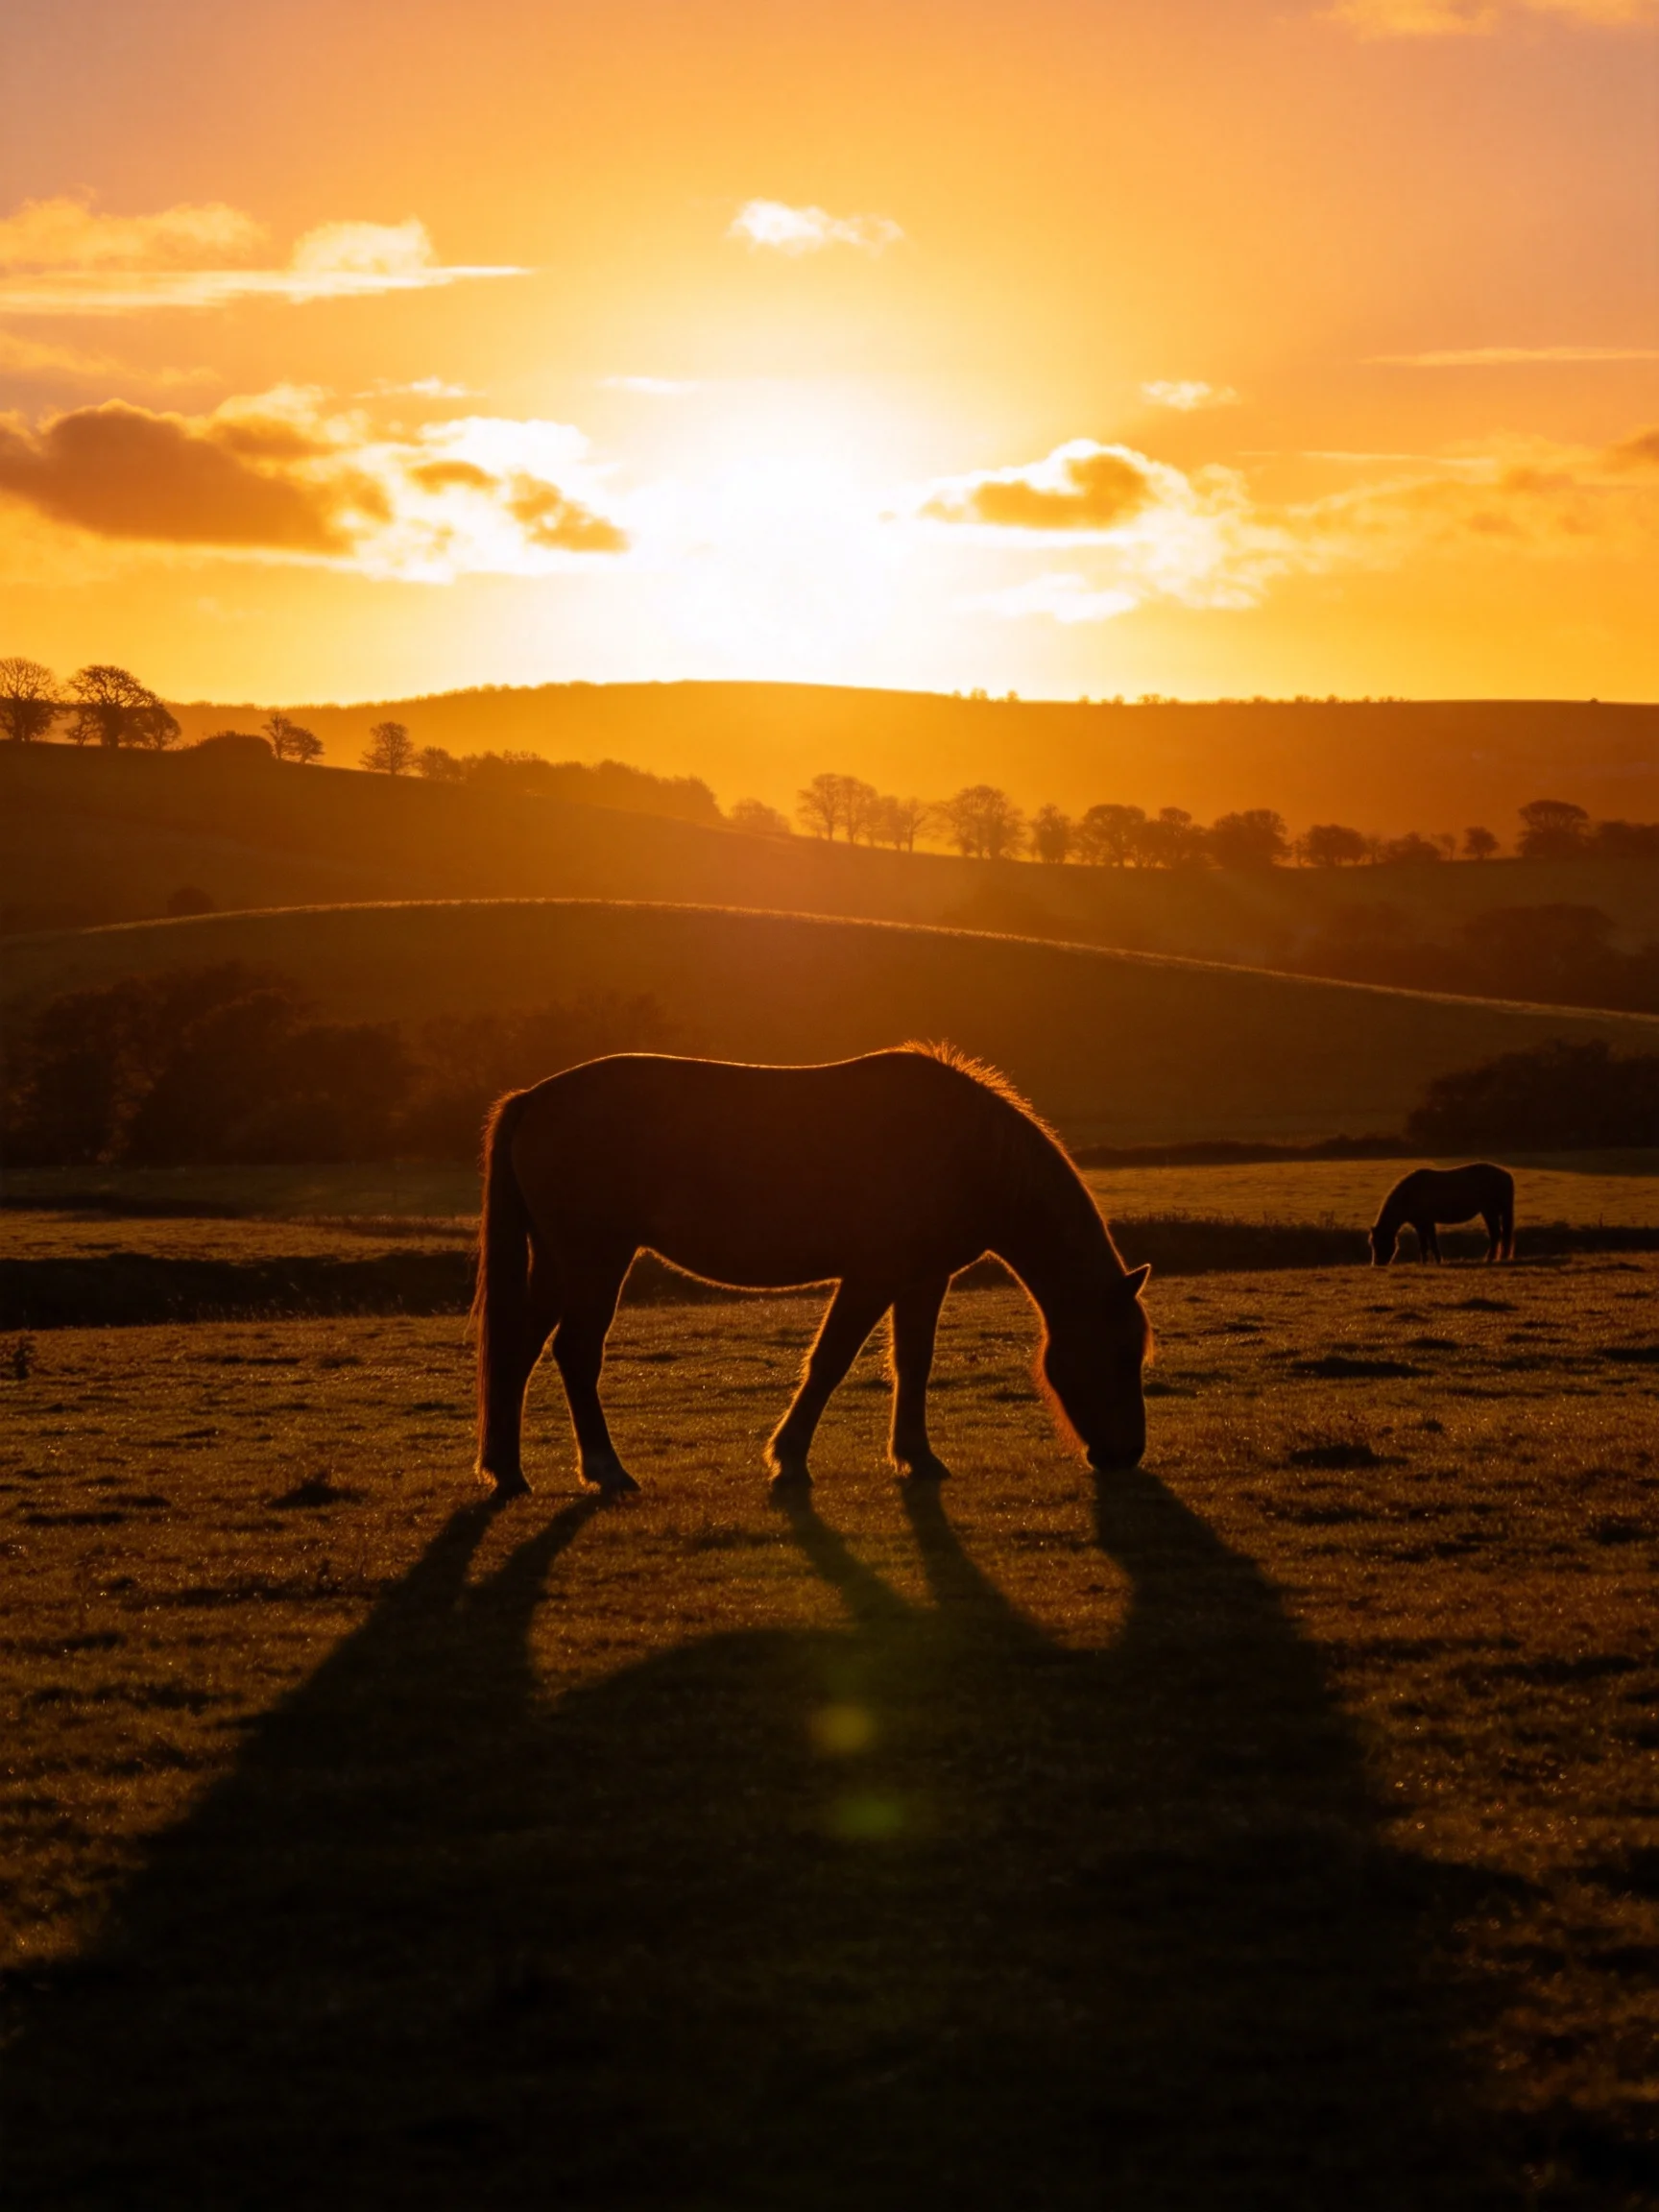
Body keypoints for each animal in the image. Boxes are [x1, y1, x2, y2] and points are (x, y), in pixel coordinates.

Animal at [473, 1045, 1152, 1498]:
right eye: (1123, 1355)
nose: (1127, 1455)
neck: (965, 1150)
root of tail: (533, 1100)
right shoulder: (872, 1278)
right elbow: (830, 1361)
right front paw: (789, 1458)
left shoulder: (922, 1281)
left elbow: (914, 1362)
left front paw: (916, 1456)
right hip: (596, 1259)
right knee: (575, 1352)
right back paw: (606, 1469)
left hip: (558, 1263)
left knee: (520, 1349)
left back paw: (508, 1471)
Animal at [1368, 1162, 1515, 1265]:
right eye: (1372, 1243)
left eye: (1380, 1242)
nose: (1377, 1264)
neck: (1410, 1194)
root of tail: (1505, 1175)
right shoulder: (1420, 1224)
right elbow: (1425, 1244)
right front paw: (1426, 1262)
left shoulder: (1427, 1222)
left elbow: (1431, 1243)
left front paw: (1436, 1261)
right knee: (1498, 1234)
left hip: (1489, 1212)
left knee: (1496, 1234)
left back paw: (1490, 1259)